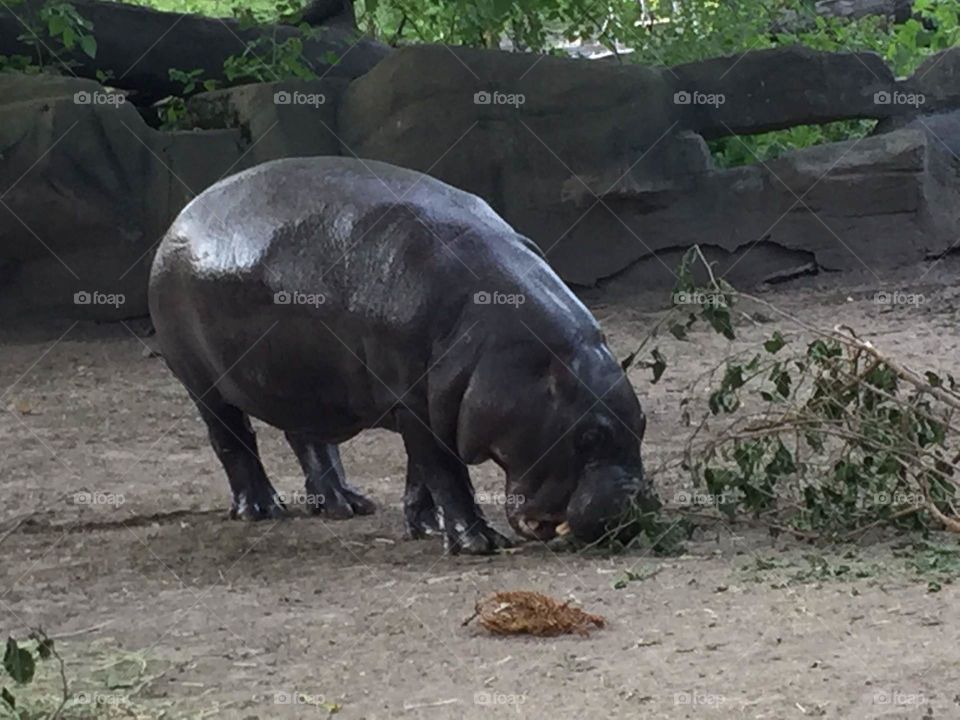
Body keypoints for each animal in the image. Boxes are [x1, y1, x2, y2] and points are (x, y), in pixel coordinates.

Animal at [148, 156, 651, 554]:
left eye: (643, 423)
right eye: (589, 436)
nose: (633, 506)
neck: (509, 354)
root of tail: (182, 216)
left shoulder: (431, 401)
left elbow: (420, 473)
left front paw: (426, 527)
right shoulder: (416, 405)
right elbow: (445, 472)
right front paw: (478, 543)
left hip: (303, 382)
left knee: (307, 439)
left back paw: (346, 506)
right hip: (202, 383)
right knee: (232, 439)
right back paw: (262, 510)